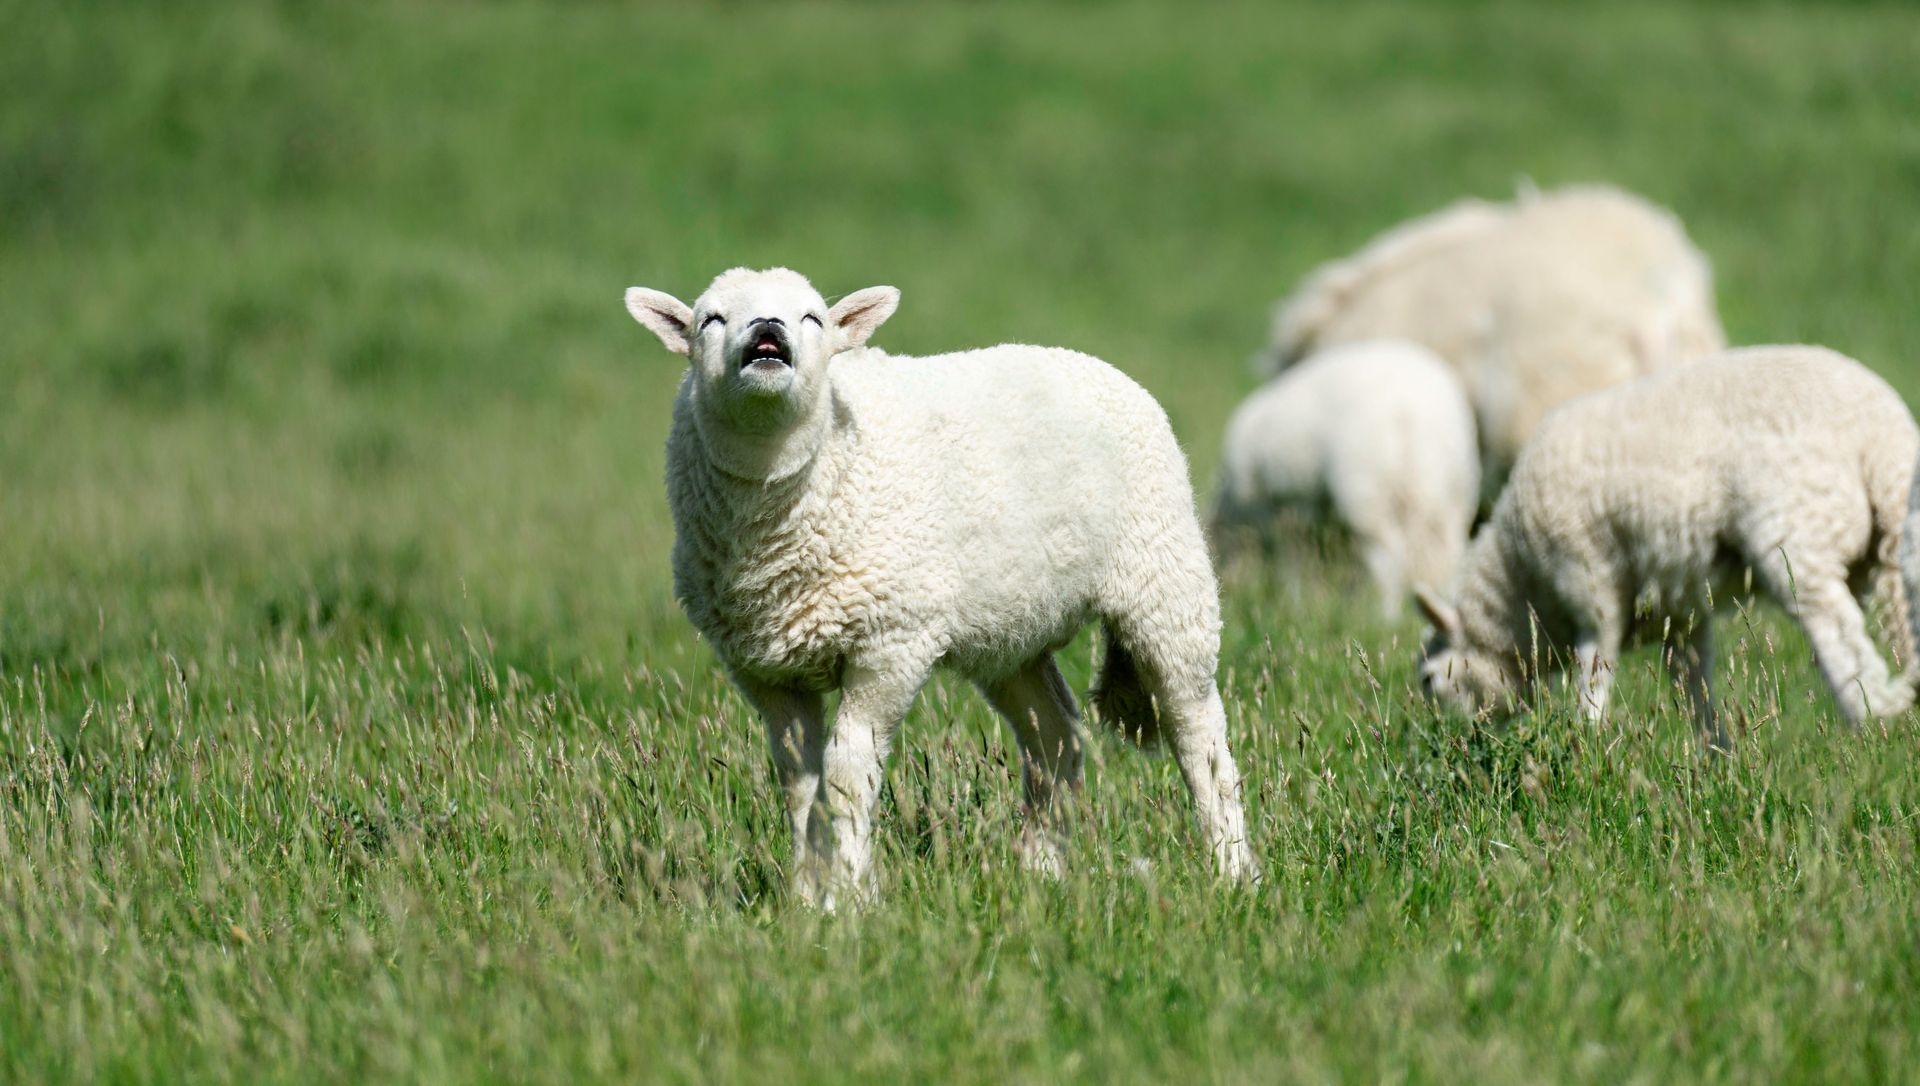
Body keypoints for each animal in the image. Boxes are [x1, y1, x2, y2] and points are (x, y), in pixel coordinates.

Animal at [623, 266, 1258, 907]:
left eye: (812, 318)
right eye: (711, 320)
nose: (767, 330)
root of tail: (1089, 362)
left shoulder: (891, 640)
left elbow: (847, 774)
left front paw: (849, 896)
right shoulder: (765, 669)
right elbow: (800, 783)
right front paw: (806, 897)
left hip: (1163, 576)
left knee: (1198, 737)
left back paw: (1232, 871)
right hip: (1012, 635)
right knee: (1056, 738)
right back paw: (1041, 872)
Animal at [1212, 339, 1480, 618]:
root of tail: (1412, 415)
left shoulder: (1274, 516)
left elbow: (1292, 565)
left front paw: (1295, 602)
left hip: (1366, 492)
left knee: (1387, 561)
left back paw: (1385, 615)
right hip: (1453, 493)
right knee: (1449, 556)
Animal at [1415, 345, 1920, 750]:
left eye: (1428, 680)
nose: (1454, 741)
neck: (1520, 587)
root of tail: (1882, 437)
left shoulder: (1591, 585)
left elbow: (1595, 672)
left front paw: (1586, 743)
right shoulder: (1681, 613)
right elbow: (1691, 685)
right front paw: (1715, 756)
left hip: (1798, 534)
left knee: (1838, 634)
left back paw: (1870, 720)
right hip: (1877, 550)